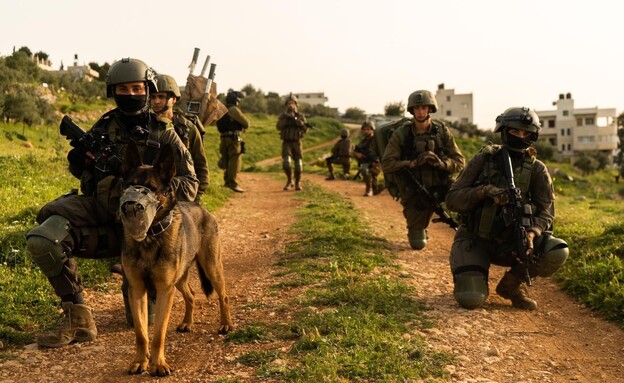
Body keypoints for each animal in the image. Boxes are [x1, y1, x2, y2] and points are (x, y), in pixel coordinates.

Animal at [118, 142, 233, 376]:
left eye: (151, 188)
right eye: (129, 186)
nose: (131, 206)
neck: (150, 237)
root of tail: (201, 208)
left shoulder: (164, 290)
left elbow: (158, 333)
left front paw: (158, 364)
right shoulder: (137, 290)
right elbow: (141, 334)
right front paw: (140, 361)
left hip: (211, 267)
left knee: (223, 296)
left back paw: (226, 324)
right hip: (179, 280)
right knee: (191, 295)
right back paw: (187, 323)